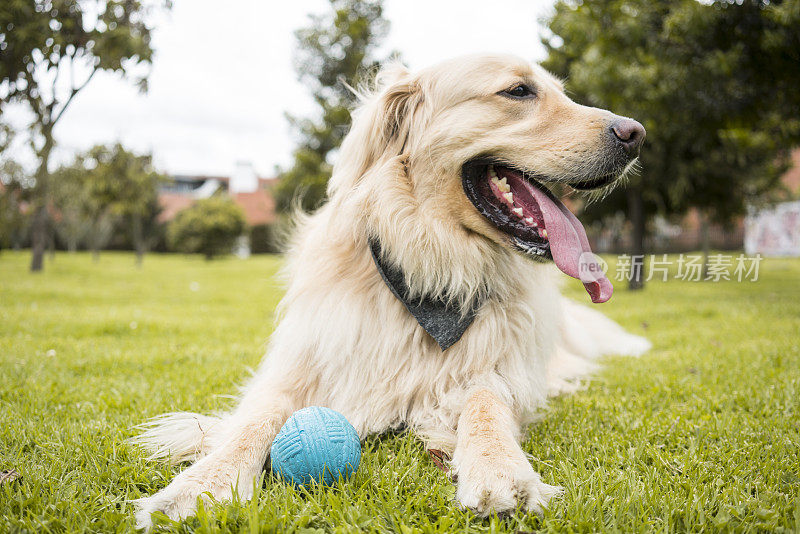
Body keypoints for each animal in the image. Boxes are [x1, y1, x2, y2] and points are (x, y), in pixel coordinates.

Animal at [131, 54, 648, 532]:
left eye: (561, 92)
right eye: (518, 91)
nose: (636, 133)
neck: (432, 267)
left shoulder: (500, 370)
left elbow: (486, 404)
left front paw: (501, 471)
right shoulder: (299, 367)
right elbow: (256, 419)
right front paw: (202, 484)